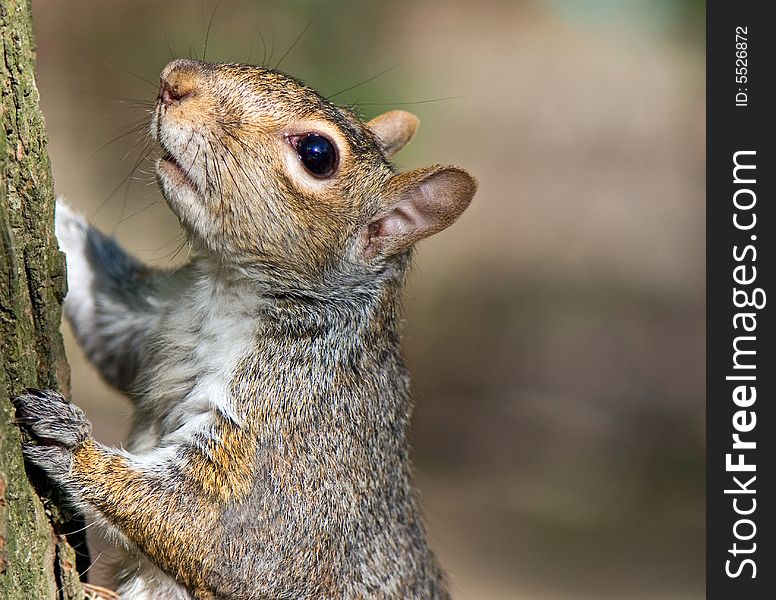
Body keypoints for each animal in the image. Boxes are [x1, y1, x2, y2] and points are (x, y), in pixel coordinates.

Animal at [12, 57, 476, 600]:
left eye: (317, 154)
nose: (174, 80)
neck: (220, 291)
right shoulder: (148, 321)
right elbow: (100, 307)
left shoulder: (293, 440)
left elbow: (216, 531)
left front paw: (71, 448)